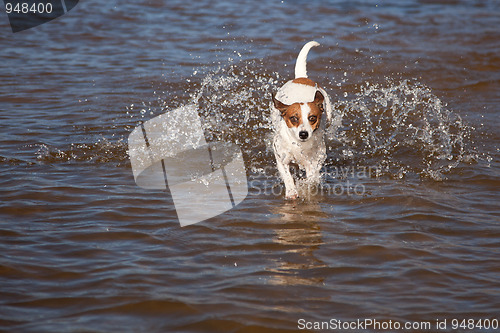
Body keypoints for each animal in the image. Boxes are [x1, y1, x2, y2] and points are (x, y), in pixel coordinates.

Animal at [270, 40, 332, 198]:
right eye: (293, 118)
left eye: (312, 118)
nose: (303, 134)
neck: (299, 146)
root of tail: (301, 77)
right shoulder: (281, 158)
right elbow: (287, 176)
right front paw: (292, 191)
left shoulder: (316, 159)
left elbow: (312, 175)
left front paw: (306, 186)